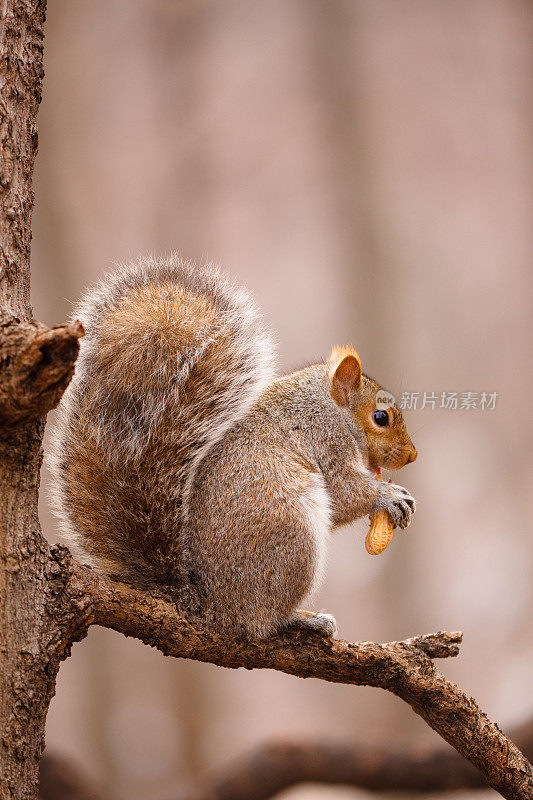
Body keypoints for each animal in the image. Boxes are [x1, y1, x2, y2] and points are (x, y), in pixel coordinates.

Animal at [47, 256, 416, 636]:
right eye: (381, 417)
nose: (411, 456)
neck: (328, 406)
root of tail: (211, 607)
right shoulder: (326, 442)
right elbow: (344, 494)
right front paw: (388, 496)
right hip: (291, 537)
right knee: (262, 621)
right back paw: (303, 620)